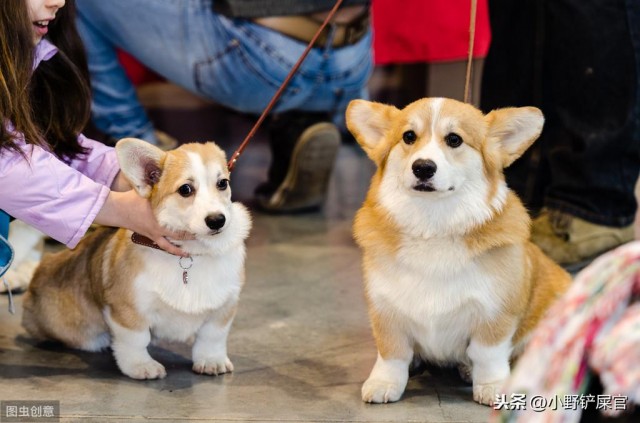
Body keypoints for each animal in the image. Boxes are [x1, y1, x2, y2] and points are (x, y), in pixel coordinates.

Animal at [20, 139, 250, 380]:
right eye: (185, 189)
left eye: (222, 183)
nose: (217, 220)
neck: (191, 254)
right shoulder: (127, 309)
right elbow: (137, 339)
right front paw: (141, 365)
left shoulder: (224, 307)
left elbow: (212, 336)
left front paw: (211, 360)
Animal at [348, 97, 572, 406]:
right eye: (409, 136)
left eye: (454, 139)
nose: (423, 167)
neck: (433, 225)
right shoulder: (385, 309)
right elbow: (392, 353)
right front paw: (384, 382)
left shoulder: (495, 312)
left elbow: (487, 354)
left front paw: (491, 385)